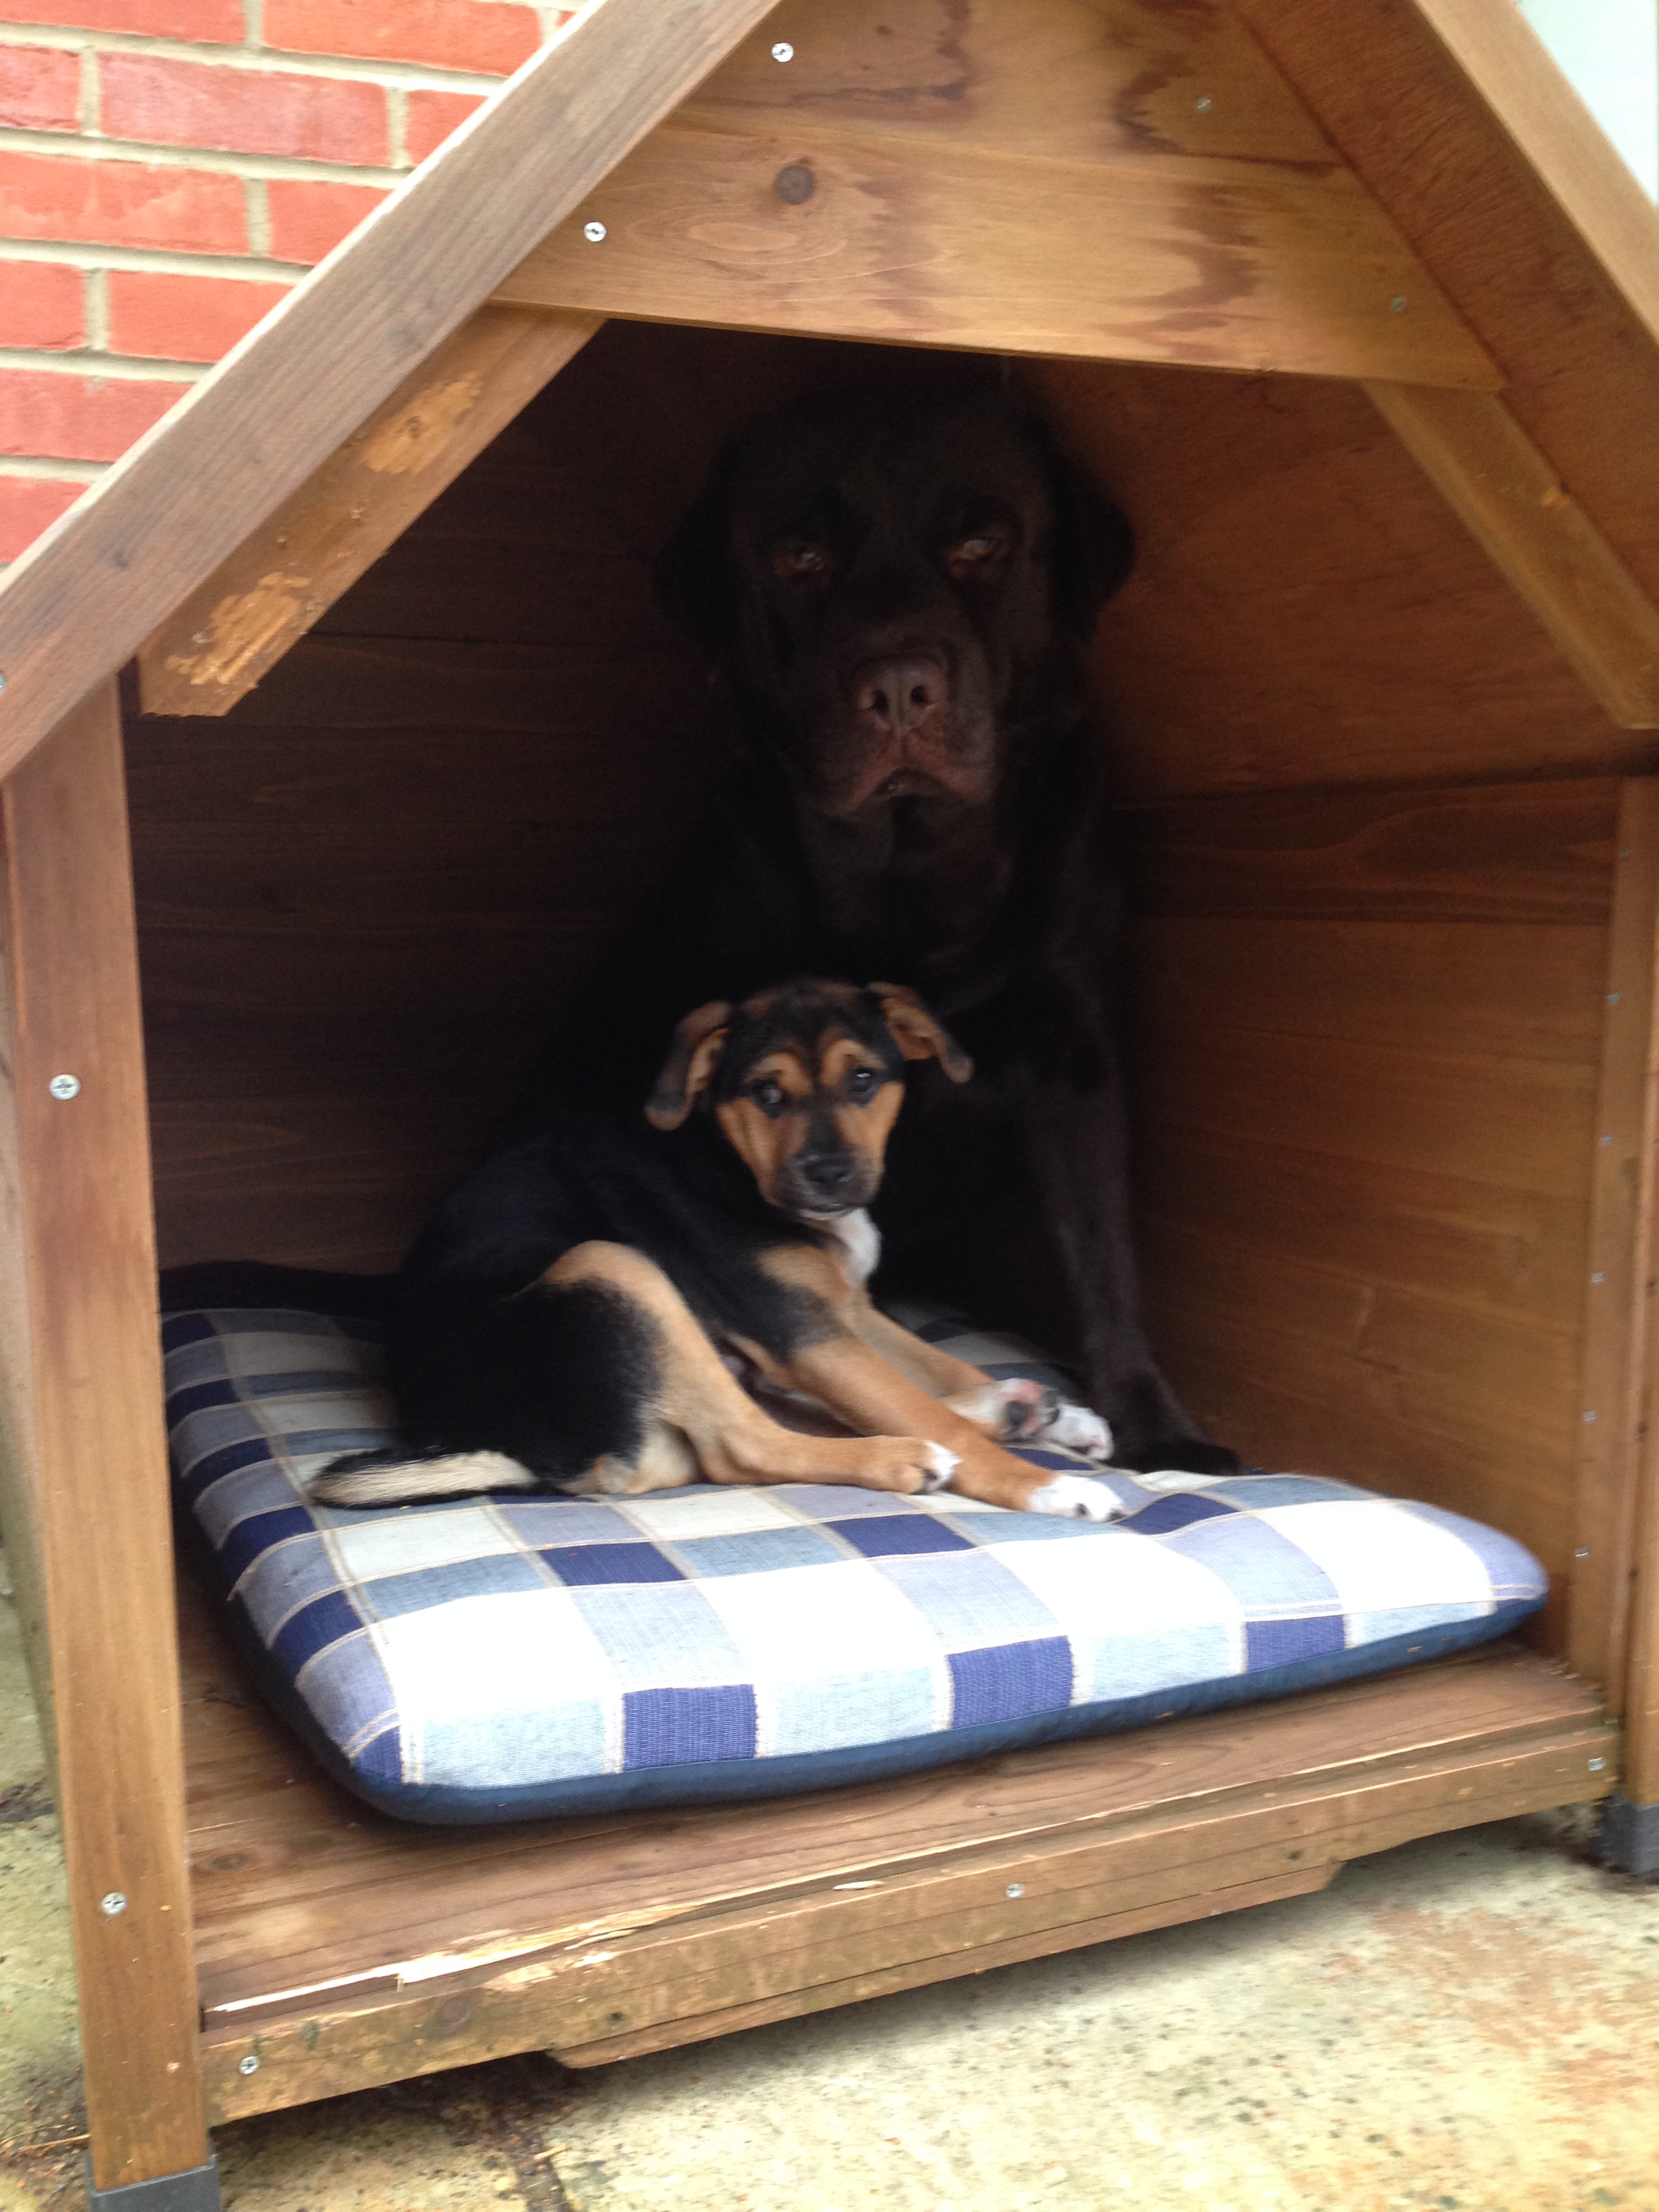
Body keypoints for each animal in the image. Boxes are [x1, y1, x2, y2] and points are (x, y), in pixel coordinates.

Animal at [312, 980, 1121, 1519]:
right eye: (766, 1094)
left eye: (864, 1080)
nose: (829, 1174)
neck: (730, 1160)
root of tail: (525, 1453)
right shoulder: (803, 1330)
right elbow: (922, 1407)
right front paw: (1042, 1485)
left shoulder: (843, 1310)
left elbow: (937, 1370)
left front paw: (1052, 1417)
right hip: (609, 1265)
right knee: (746, 1446)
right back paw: (910, 1457)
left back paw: (1016, 1408)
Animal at [518, 383, 1237, 1476]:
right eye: (799, 556)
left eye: (982, 542)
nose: (898, 686)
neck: (913, 870)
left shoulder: (1074, 1048)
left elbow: (1107, 1253)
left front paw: (1160, 1429)